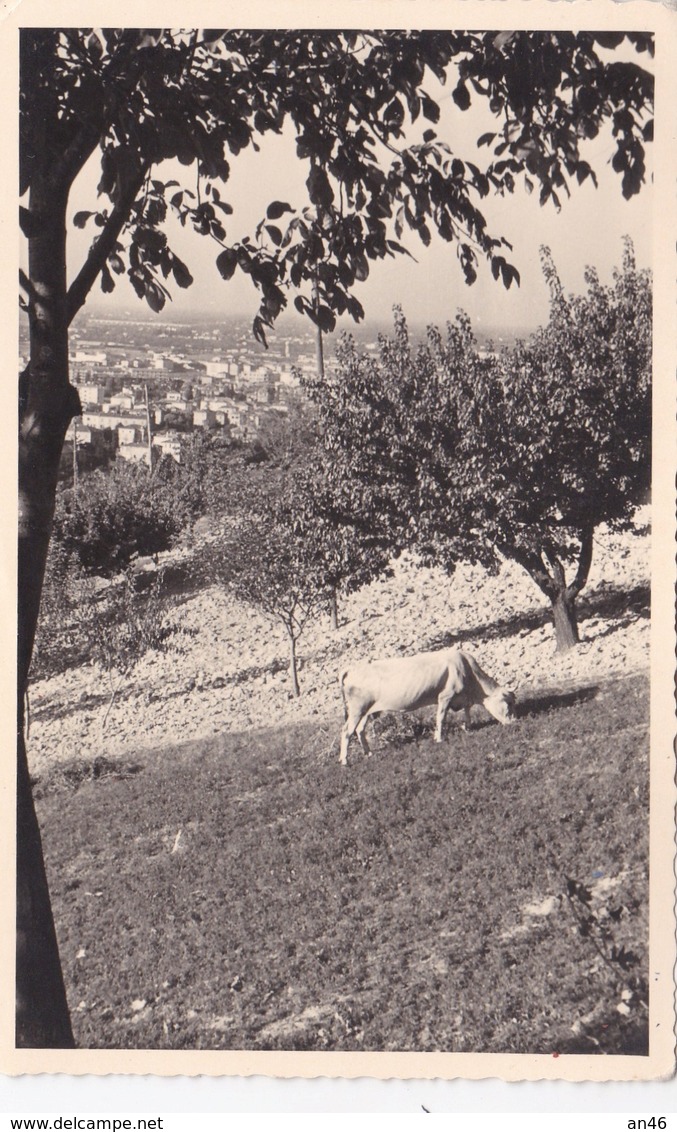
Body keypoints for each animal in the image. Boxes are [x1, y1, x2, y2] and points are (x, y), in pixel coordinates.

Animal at [341, 652, 518, 765]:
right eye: (508, 703)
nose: (514, 721)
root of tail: (351, 669)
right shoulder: (445, 695)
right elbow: (441, 717)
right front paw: (439, 738)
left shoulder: (463, 698)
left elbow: (467, 711)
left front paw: (468, 727)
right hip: (357, 709)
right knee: (346, 731)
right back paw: (344, 760)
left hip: (366, 711)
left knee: (359, 730)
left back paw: (368, 753)